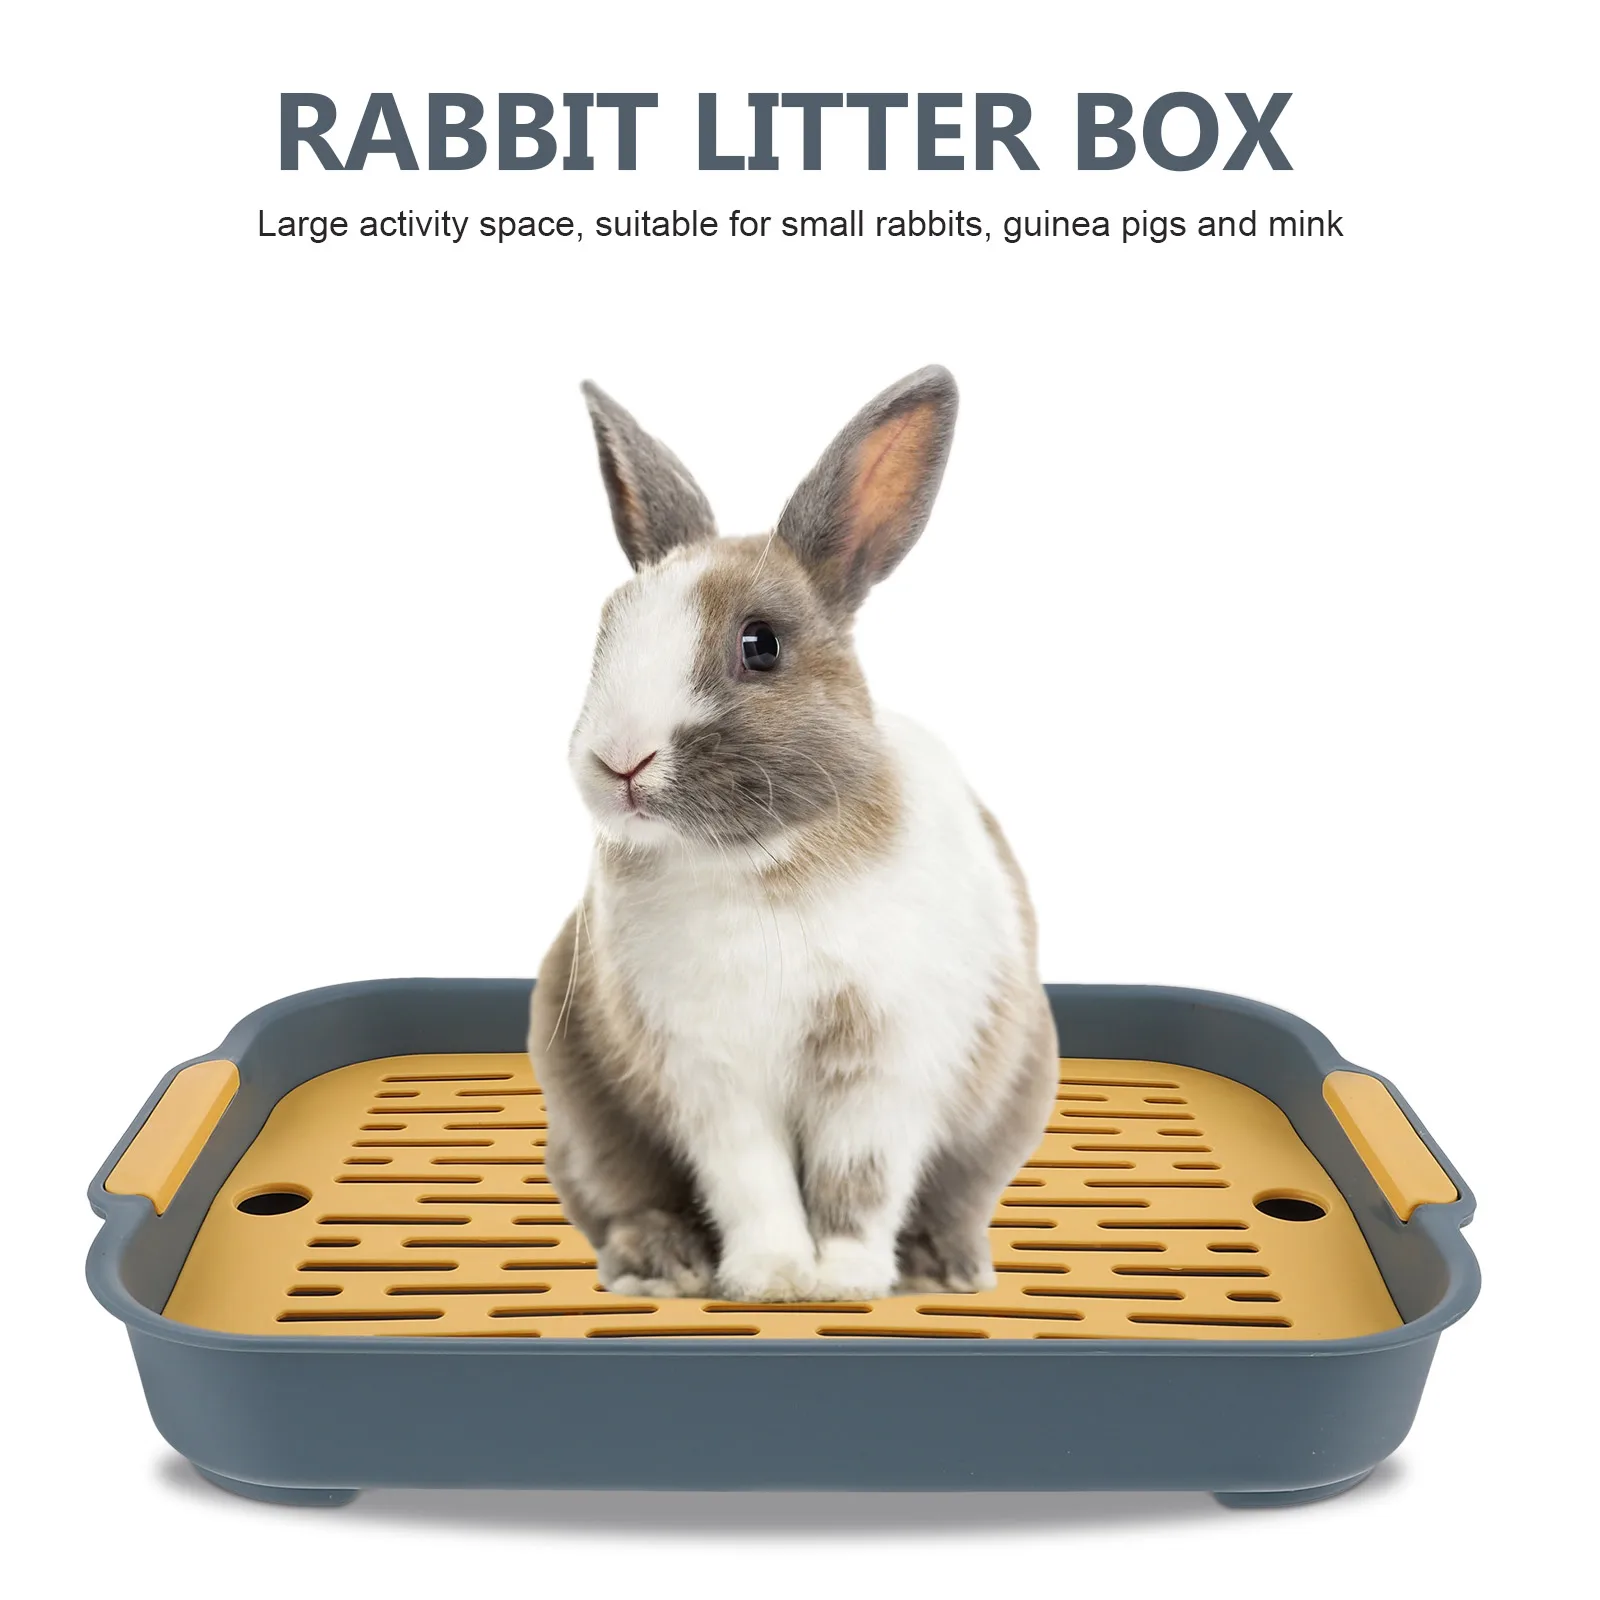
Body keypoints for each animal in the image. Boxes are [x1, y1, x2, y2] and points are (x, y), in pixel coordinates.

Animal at [529, 365, 1057, 1303]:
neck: (759, 864)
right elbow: (753, 1181)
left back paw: (945, 1268)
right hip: (584, 1121)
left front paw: (843, 1280)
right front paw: (773, 1277)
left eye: (760, 644)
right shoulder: (711, 1078)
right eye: (606, 631)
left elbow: (859, 1180)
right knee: (622, 1197)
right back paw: (662, 1266)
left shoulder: (883, 1067)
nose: (619, 761)